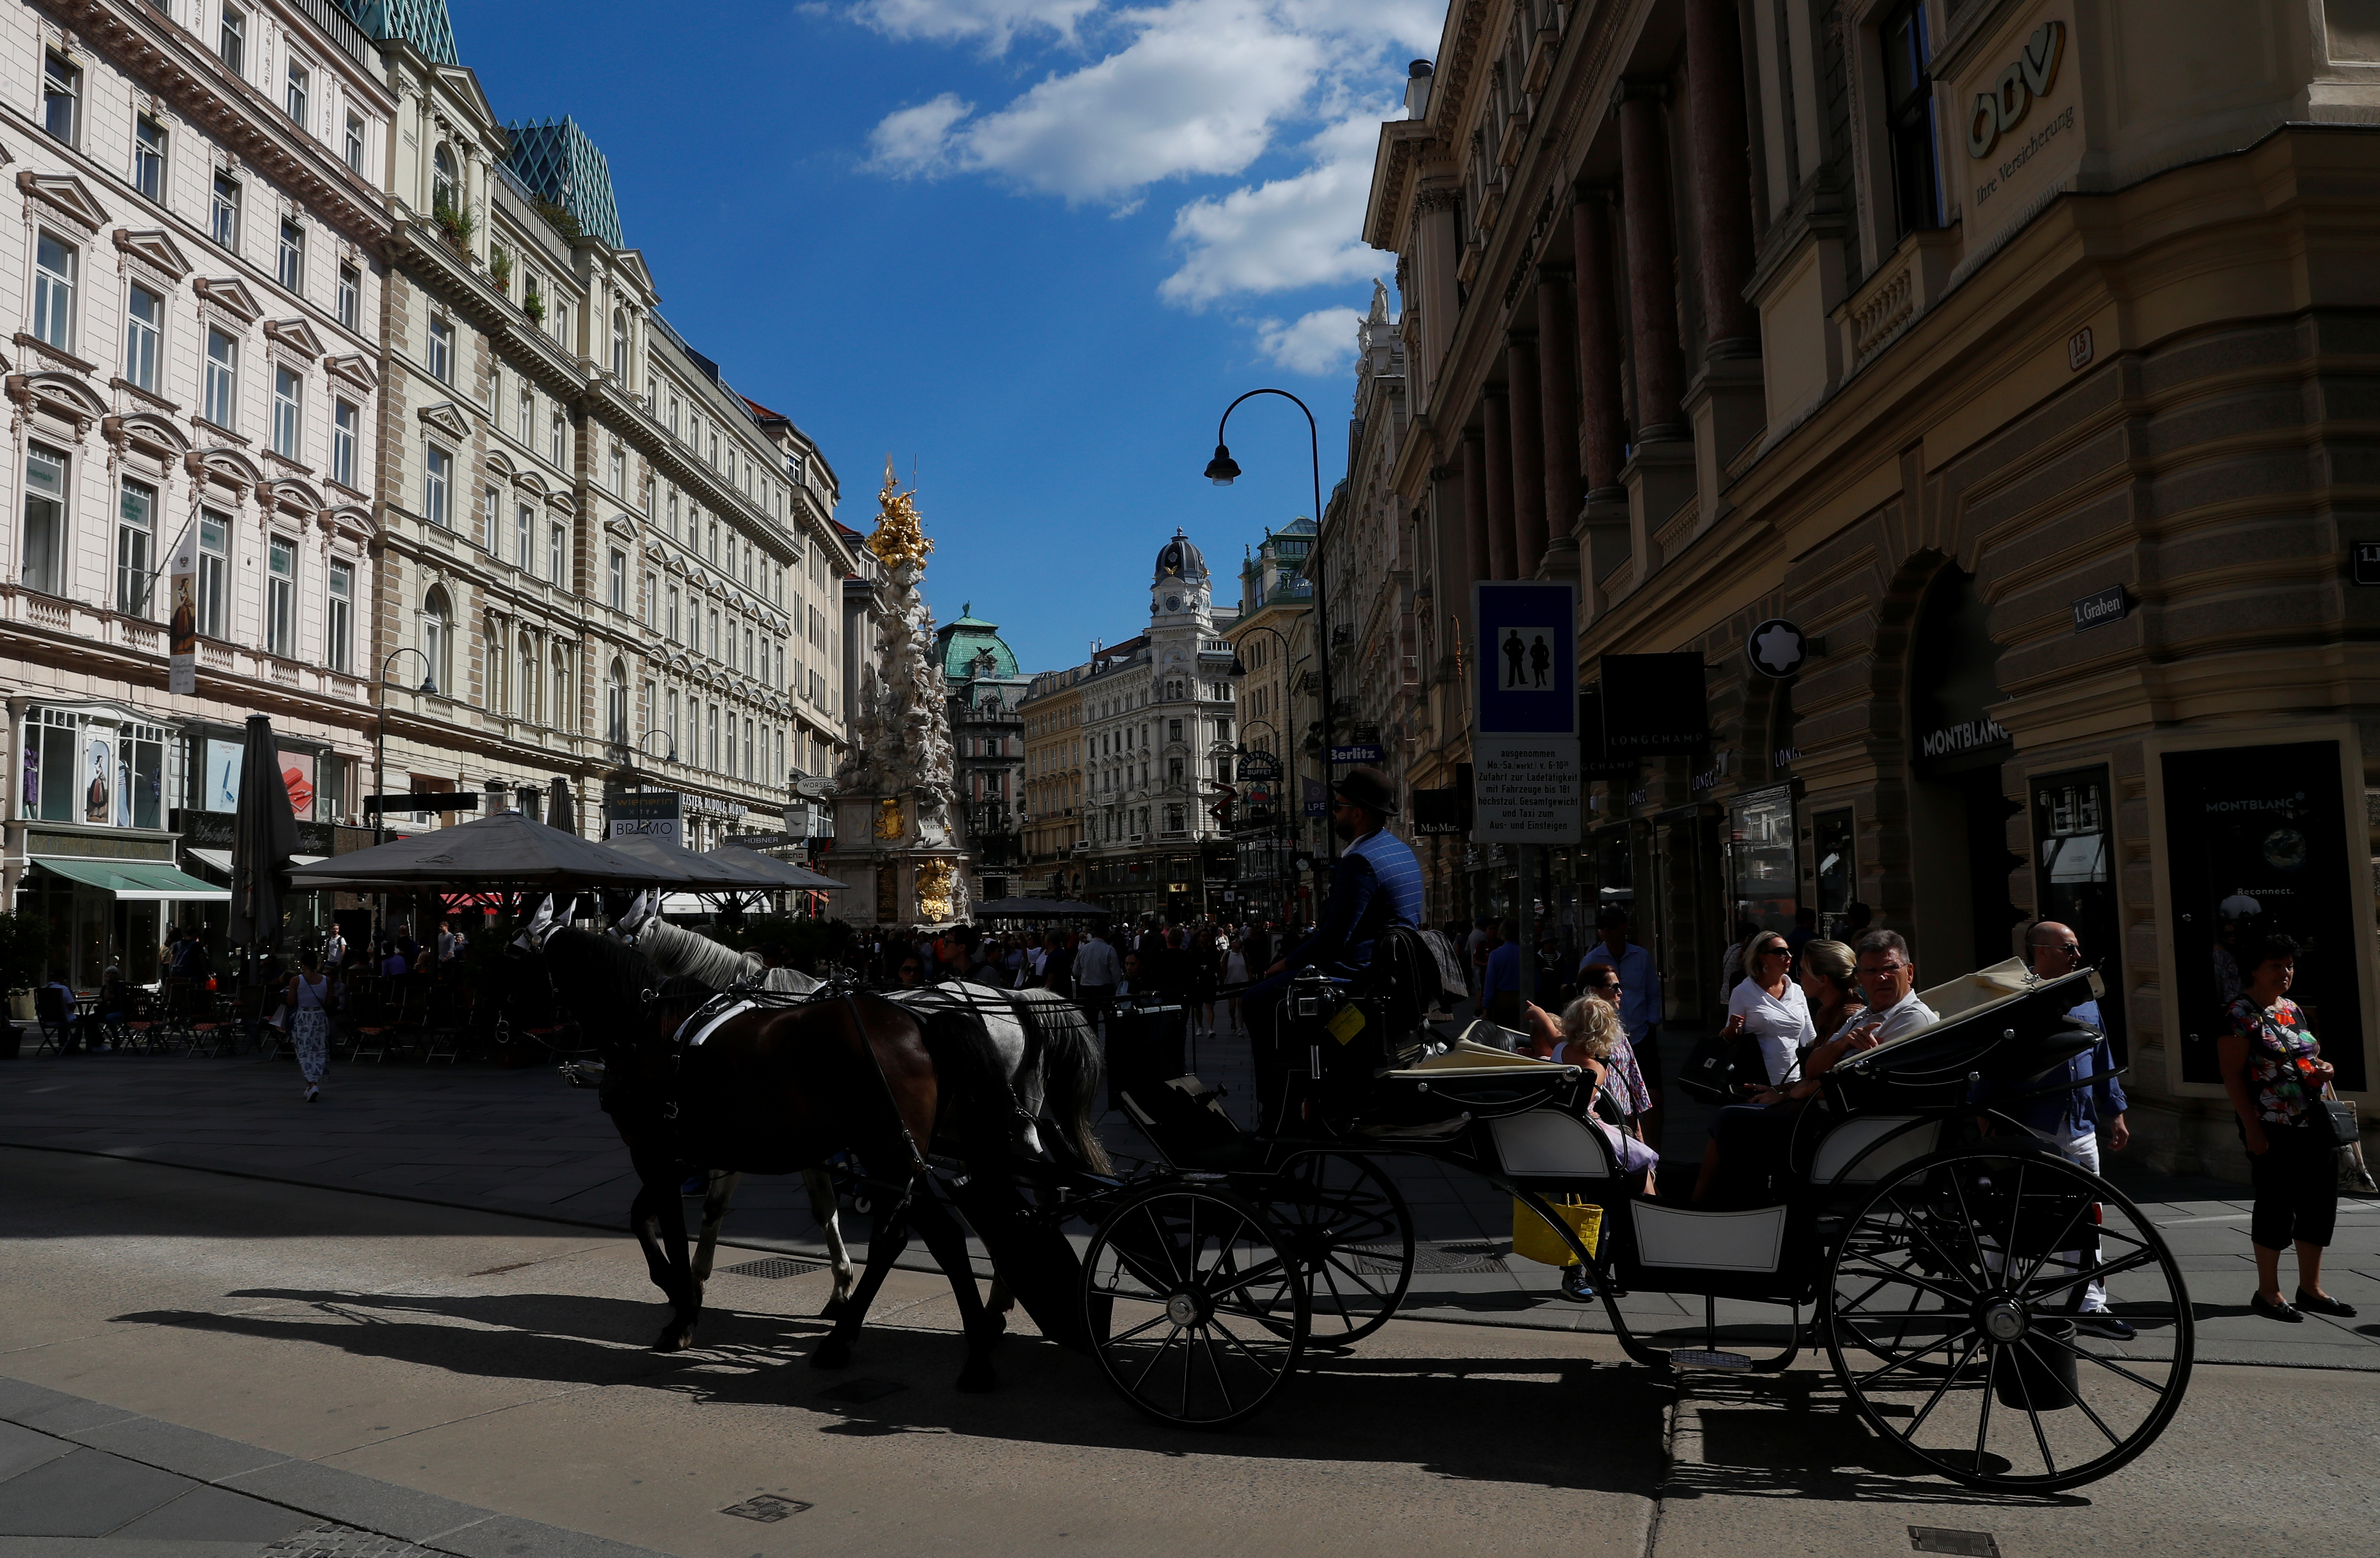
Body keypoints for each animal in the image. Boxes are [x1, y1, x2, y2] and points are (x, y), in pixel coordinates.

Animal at [531, 932, 1104, 1398]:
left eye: (537, 969)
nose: (539, 1041)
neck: (653, 1027)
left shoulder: (658, 1151)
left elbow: (665, 1222)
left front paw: (682, 1303)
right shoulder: (717, 1152)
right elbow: (714, 1213)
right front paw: (692, 1290)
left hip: (897, 1148)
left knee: (952, 1230)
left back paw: (977, 1350)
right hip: (910, 1150)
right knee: (929, 1227)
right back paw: (856, 1336)